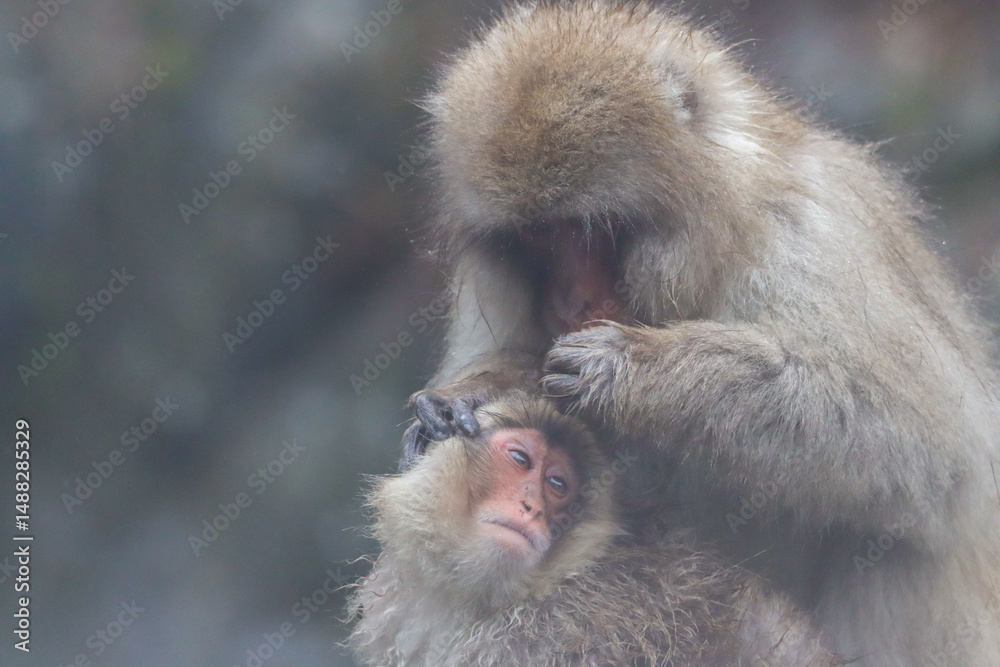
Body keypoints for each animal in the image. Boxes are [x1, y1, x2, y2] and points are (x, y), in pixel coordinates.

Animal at [399, 2, 1000, 664]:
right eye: (536, 237)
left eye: (587, 227)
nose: (569, 299)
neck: (719, 237)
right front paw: (471, 393)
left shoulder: (808, 235)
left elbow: (926, 456)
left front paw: (629, 371)